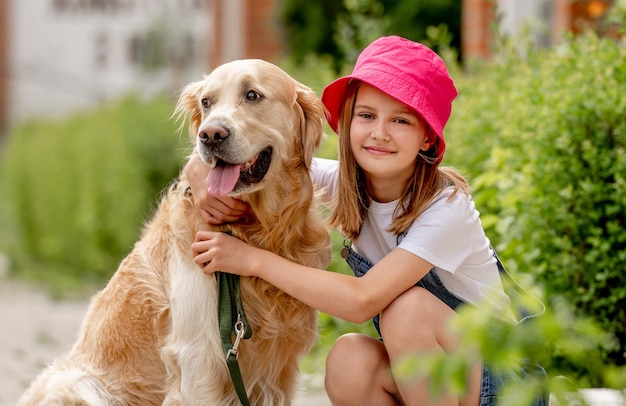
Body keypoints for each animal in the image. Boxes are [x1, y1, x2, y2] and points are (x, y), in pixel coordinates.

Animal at [18, 58, 332, 404]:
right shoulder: (199, 358)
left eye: (253, 95)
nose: (210, 135)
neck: (259, 229)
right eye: (207, 102)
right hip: (74, 383)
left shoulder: (278, 371)